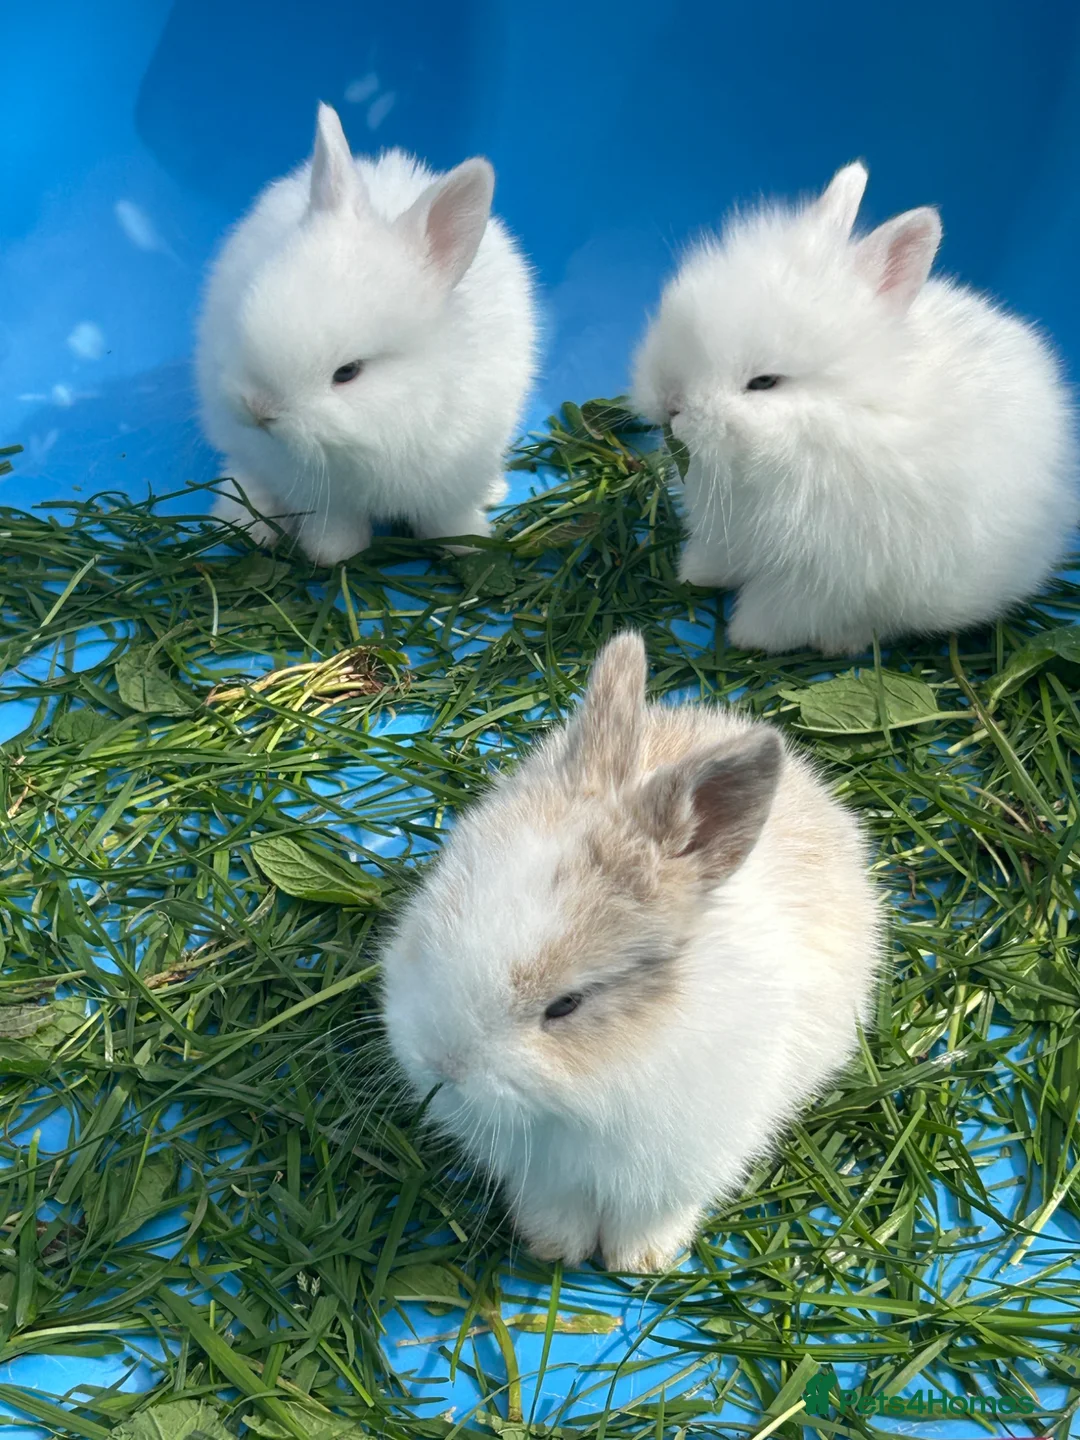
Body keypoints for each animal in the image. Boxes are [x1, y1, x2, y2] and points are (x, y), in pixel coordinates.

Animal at [195, 103, 536, 565]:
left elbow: (450, 518)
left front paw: (468, 545)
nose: (259, 410)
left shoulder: (455, 477)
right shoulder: (325, 498)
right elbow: (336, 527)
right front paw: (334, 556)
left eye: (348, 372)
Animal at [380, 631, 883, 1273]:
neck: (596, 1087)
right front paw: (556, 1251)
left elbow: (653, 1214)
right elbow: (555, 1208)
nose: (441, 1066)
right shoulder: (545, 1178)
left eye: (566, 1004)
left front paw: (639, 1263)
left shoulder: (685, 1163)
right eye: (431, 921)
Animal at [631, 161, 1078, 656]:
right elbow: (718, 557)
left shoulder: (822, 577)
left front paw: (746, 636)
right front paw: (692, 573)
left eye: (764, 382)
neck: (833, 419)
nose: (670, 403)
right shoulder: (730, 535)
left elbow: (778, 612)